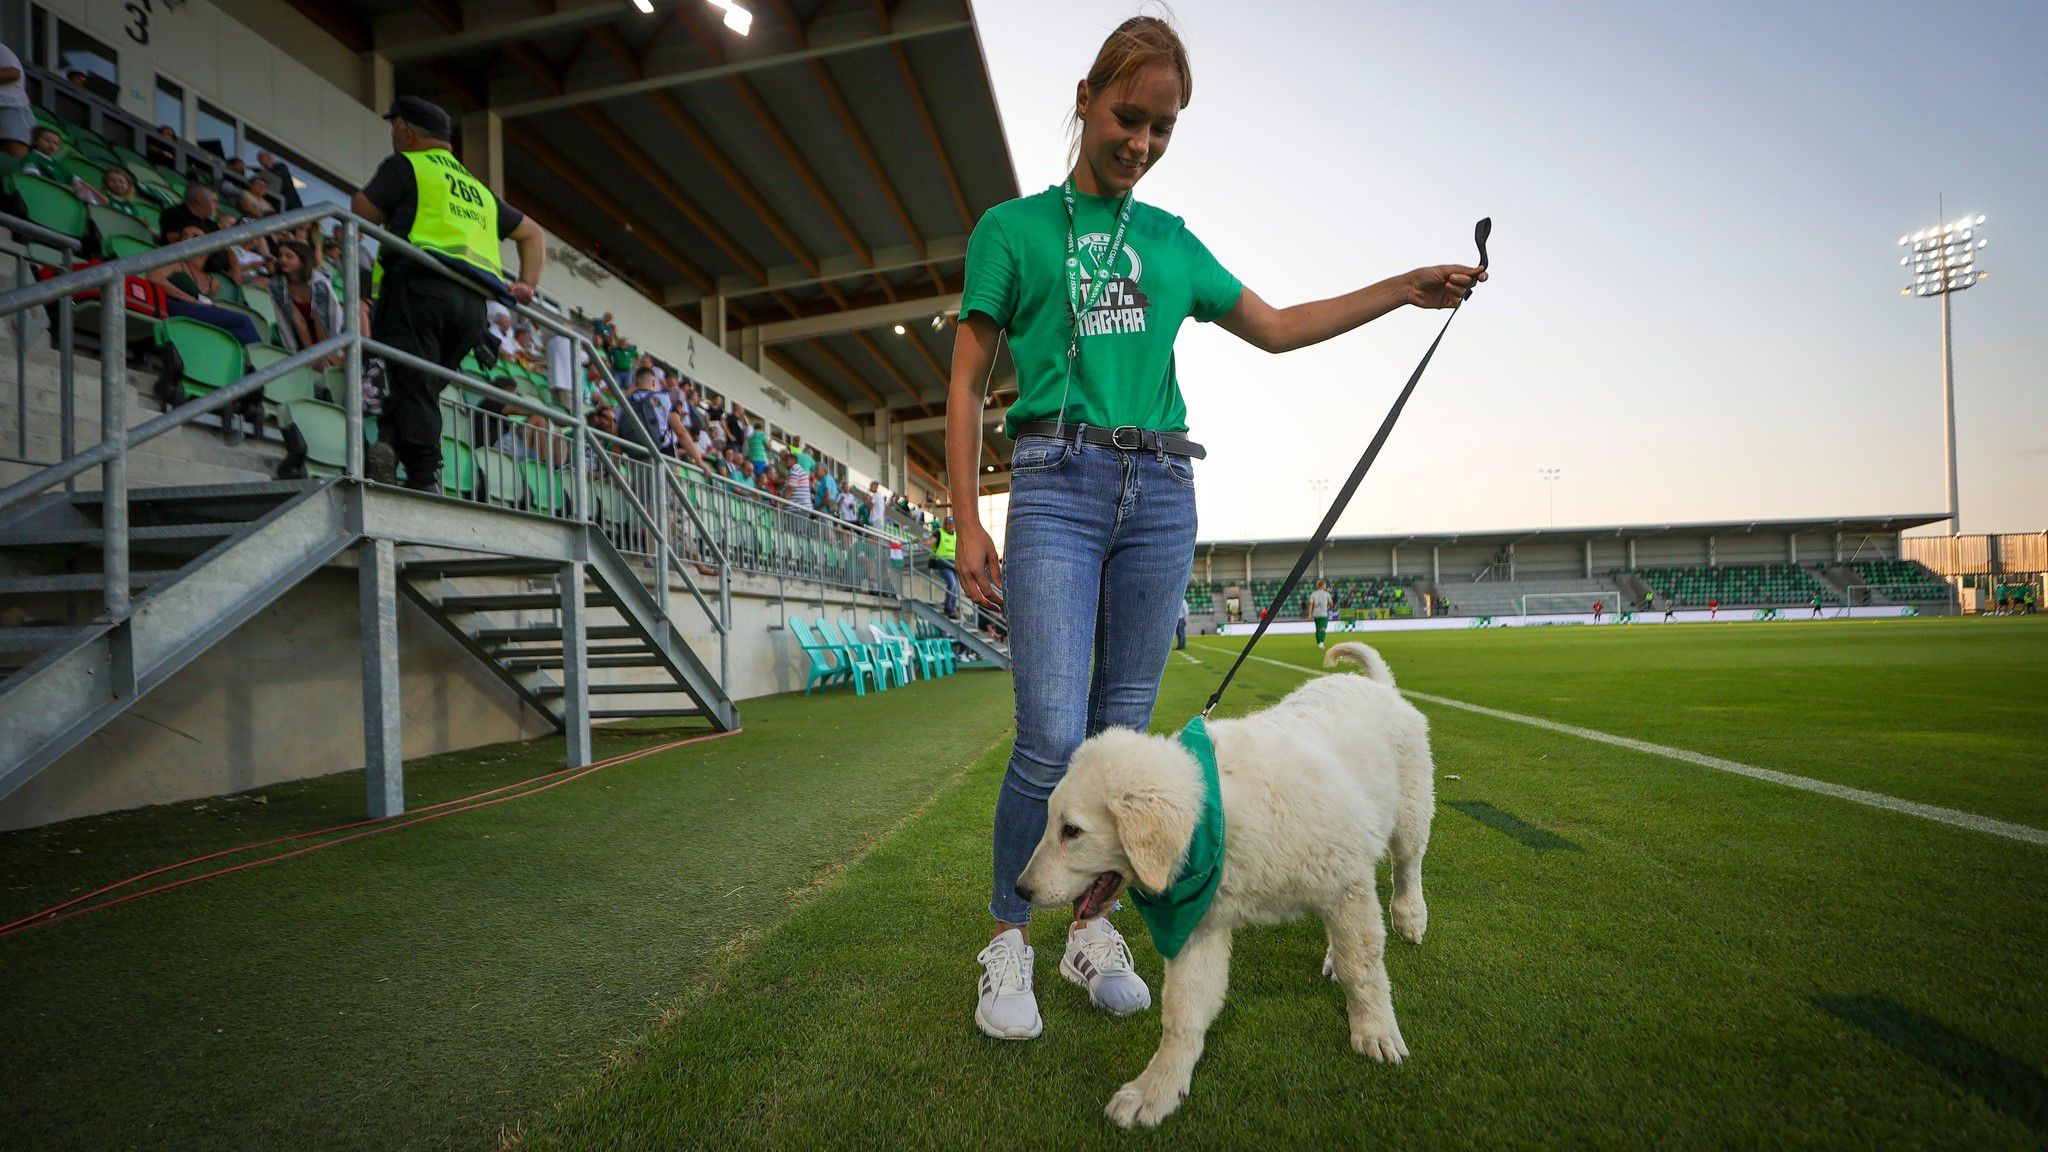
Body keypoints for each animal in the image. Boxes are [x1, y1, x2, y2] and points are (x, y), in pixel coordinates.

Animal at [1015, 639, 1433, 1123]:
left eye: (1071, 831)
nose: (1021, 889)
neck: (1217, 822)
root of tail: (1377, 685)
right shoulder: (1199, 926)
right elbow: (1184, 1012)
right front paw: (1157, 1088)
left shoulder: (1345, 883)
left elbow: (1361, 967)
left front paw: (1374, 1030)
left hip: (1410, 812)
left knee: (1407, 865)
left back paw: (1409, 916)